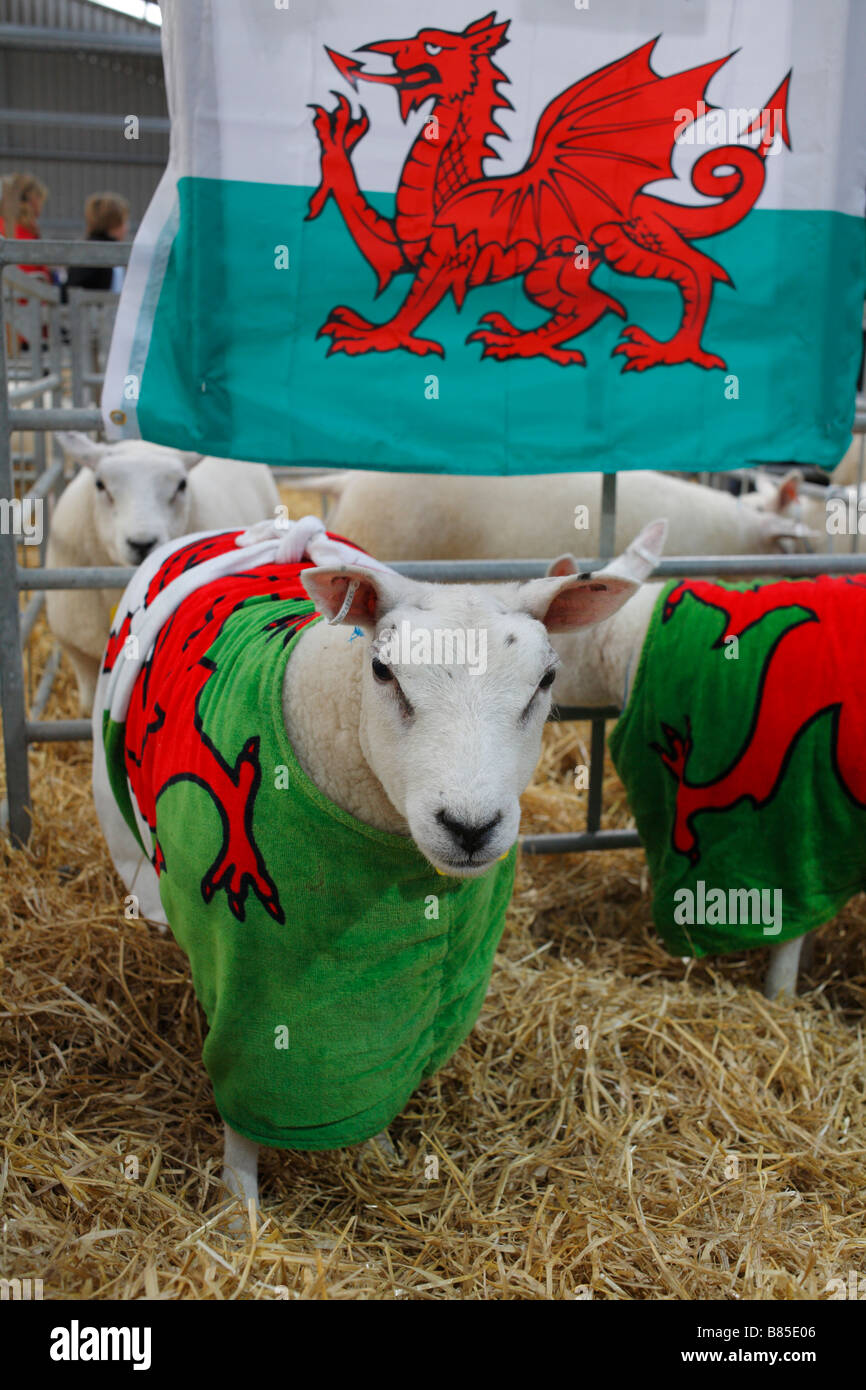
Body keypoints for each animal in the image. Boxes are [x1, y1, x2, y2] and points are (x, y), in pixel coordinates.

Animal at [93, 514, 664, 1217]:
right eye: (383, 670)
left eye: (546, 681)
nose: (469, 827)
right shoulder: (246, 970)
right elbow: (244, 1099)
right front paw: (240, 1211)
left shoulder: (408, 972)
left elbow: (382, 1058)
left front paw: (378, 1152)